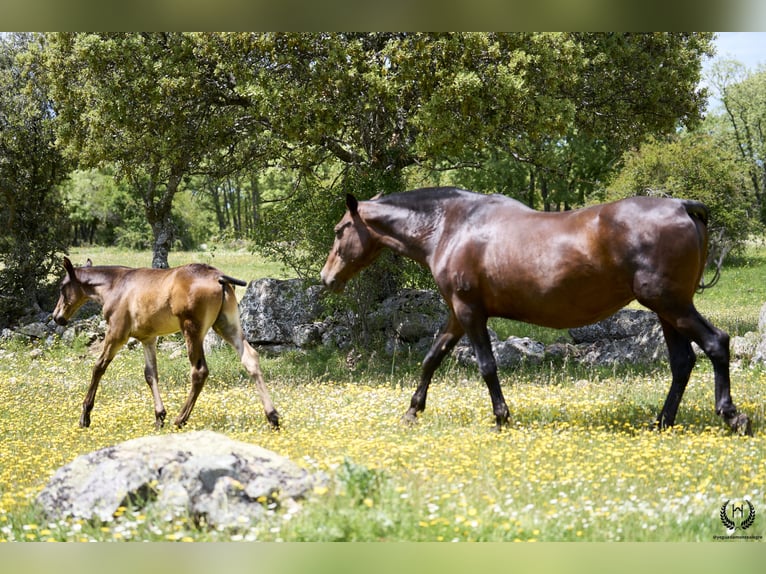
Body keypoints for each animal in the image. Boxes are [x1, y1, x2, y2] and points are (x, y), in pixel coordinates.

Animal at [54, 258, 282, 430]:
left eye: (62, 287)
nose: (57, 317)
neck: (116, 285)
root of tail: (219, 277)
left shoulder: (117, 334)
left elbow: (99, 367)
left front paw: (85, 416)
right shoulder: (148, 338)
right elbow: (150, 374)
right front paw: (159, 416)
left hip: (192, 329)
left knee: (199, 371)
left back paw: (181, 419)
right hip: (227, 325)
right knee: (250, 359)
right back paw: (273, 417)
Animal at [320, 189, 752, 436]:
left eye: (341, 230)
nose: (327, 279)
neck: (450, 226)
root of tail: (683, 207)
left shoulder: (470, 312)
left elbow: (486, 366)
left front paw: (501, 418)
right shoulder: (457, 314)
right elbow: (431, 358)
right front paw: (412, 411)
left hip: (670, 304)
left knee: (716, 343)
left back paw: (732, 417)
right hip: (667, 311)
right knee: (682, 362)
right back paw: (661, 423)